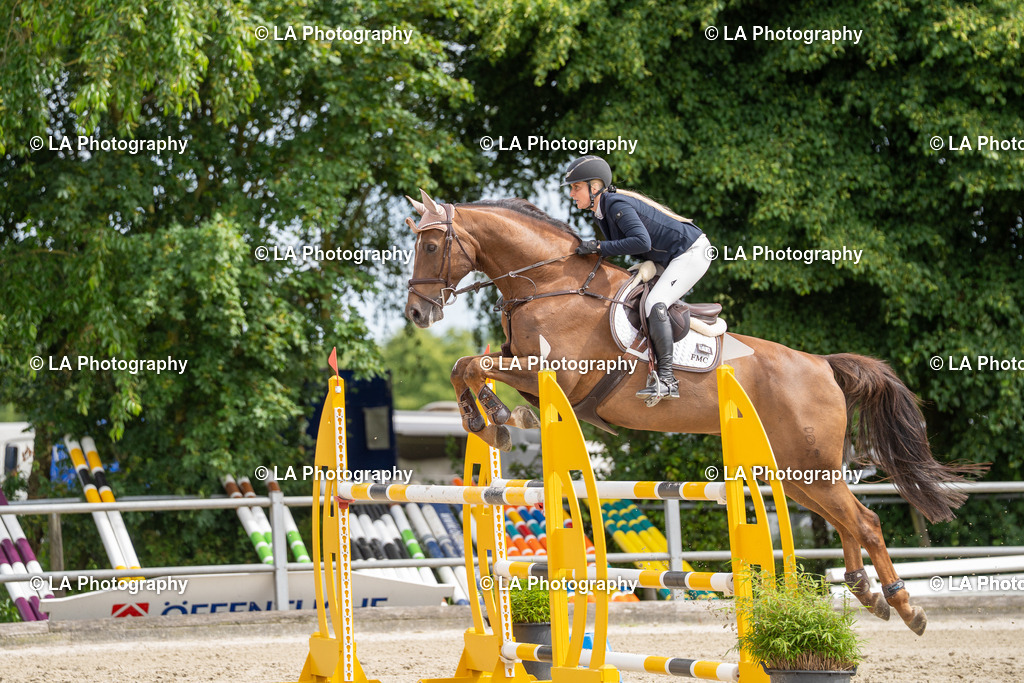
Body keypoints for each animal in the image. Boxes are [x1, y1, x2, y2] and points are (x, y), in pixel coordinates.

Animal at [403, 189, 983, 635]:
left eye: (430, 245)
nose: (416, 312)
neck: (547, 284)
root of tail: (822, 365)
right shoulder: (528, 369)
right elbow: (464, 365)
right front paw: (491, 422)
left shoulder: (556, 375)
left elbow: (473, 365)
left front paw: (496, 422)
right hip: (797, 470)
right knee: (844, 518)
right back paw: (868, 593)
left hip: (807, 462)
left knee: (864, 519)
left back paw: (904, 605)